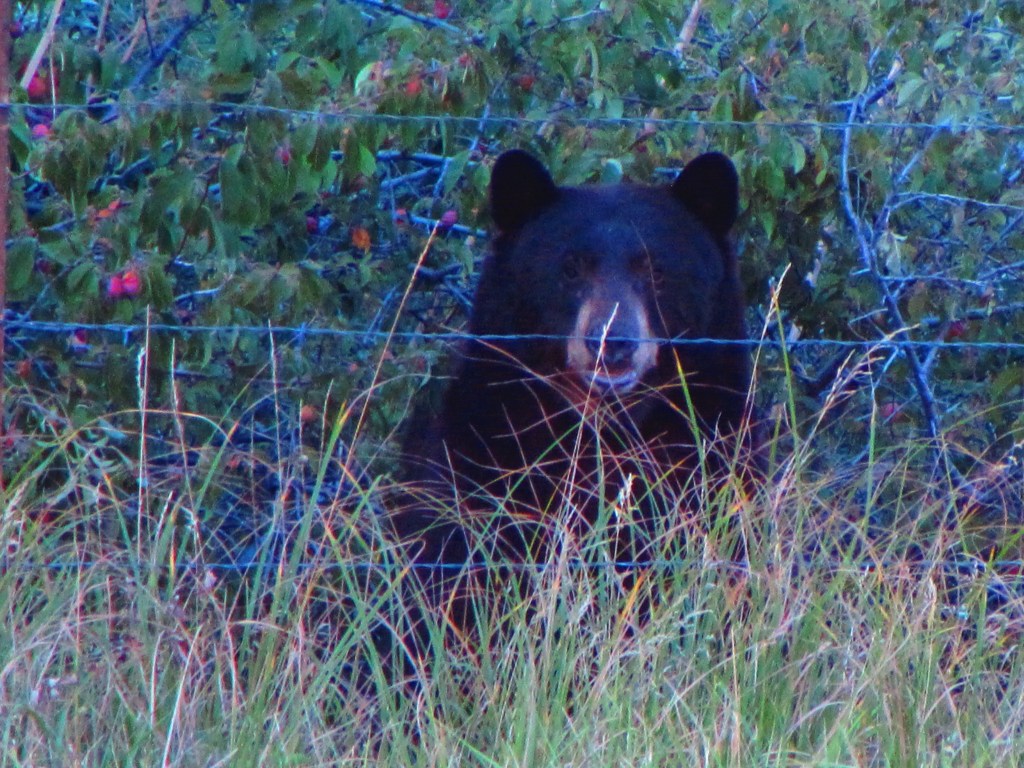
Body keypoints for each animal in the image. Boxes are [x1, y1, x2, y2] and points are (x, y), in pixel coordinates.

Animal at [395, 148, 756, 597]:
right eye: (570, 268)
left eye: (656, 271)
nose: (613, 341)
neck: (605, 431)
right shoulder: (482, 459)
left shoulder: (714, 456)